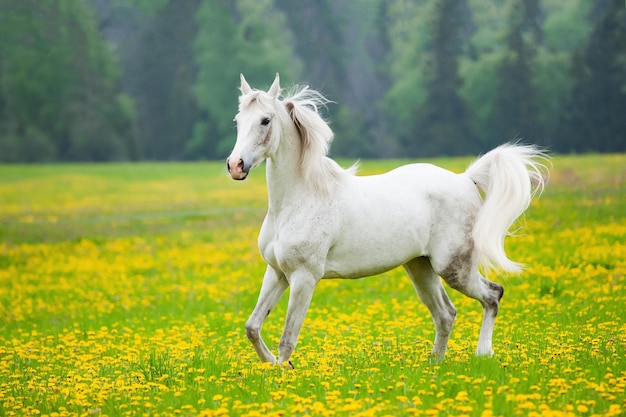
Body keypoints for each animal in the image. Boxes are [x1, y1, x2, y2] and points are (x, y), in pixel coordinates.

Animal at [225, 73, 544, 366]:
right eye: (238, 121)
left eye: (265, 120)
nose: (236, 166)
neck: (297, 201)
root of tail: (466, 179)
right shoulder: (277, 272)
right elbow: (252, 327)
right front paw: (271, 364)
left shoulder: (304, 277)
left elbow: (288, 338)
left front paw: (284, 371)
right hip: (420, 268)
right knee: (446, 314)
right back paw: (435, 363)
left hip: (454, 269)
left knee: (492, 295)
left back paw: (483, 353)